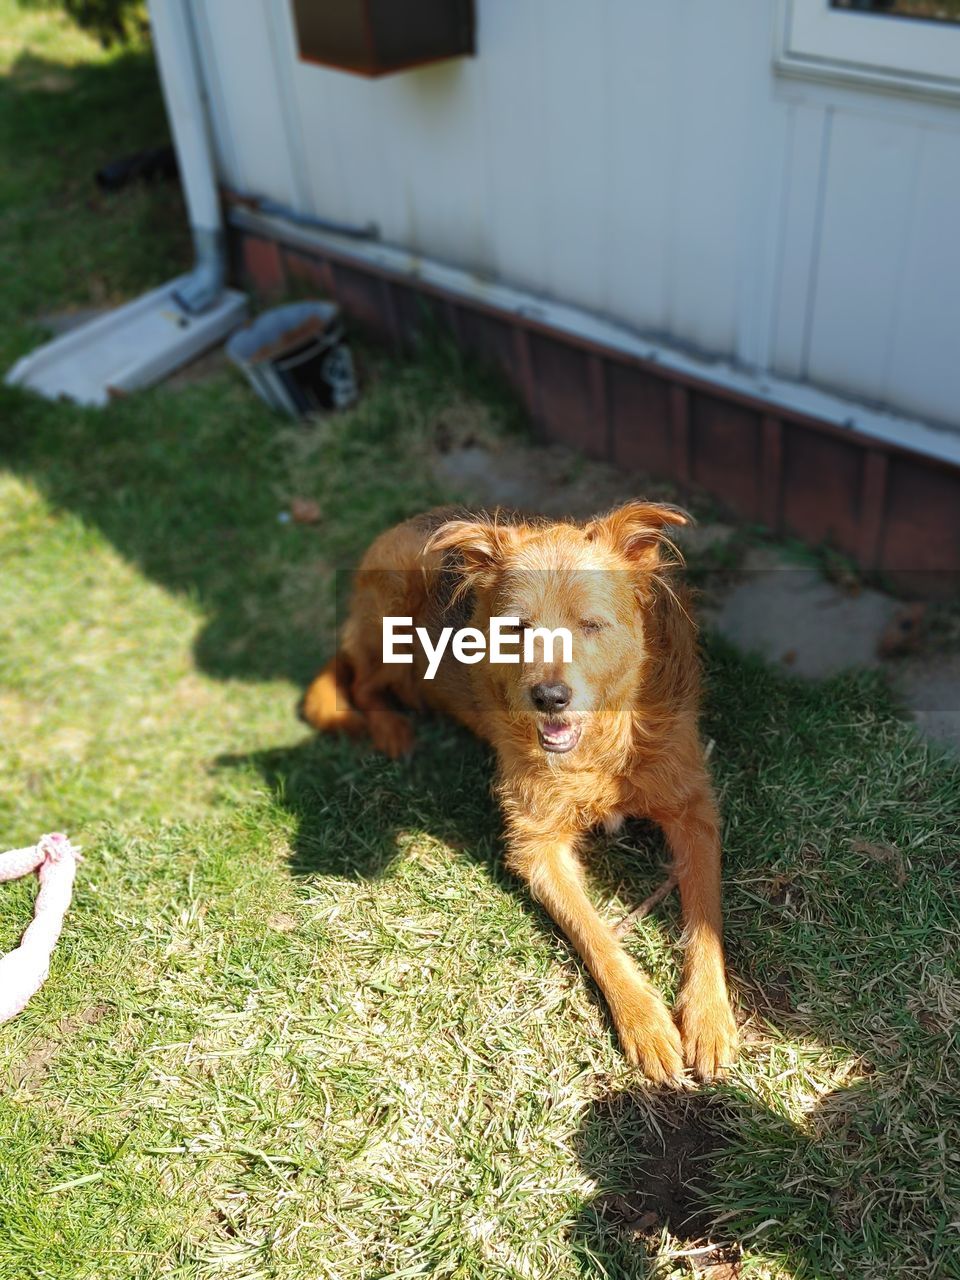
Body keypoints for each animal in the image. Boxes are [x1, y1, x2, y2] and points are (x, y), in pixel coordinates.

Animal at [304, 499, 742, 1080]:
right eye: (517, 627)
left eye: (591, 625)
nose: (549, 697)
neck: (600, 747)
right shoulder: (535, 845)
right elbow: (594, 934)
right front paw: (645, 1022)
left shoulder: (693, 809)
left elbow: (705, 917)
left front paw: (709, 1016)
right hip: (393, 609)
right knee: (364, 683)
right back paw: (392, 727)